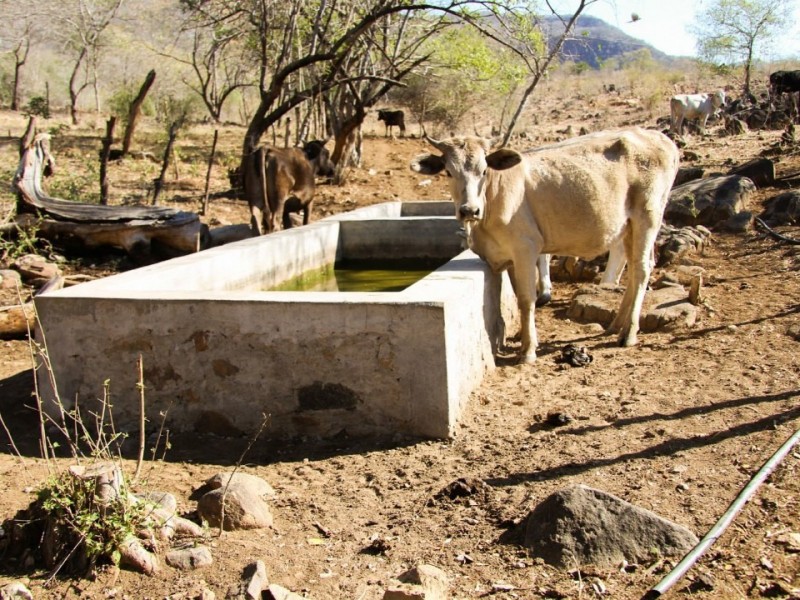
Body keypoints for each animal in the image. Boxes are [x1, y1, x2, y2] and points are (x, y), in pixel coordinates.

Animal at [410, 127, 680, 364]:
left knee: (641, 269)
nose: (469, 210)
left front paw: (528, 350)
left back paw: (628, 334)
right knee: (634, 267)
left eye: (484, 170)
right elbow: (519, 295)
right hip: (629, 225)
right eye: (448, 172)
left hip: (648, 215)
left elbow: (526, 298)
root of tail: (659, 137)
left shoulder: (525, 248)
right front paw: (525, 339)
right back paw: (616, 325)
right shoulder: (509, 256)